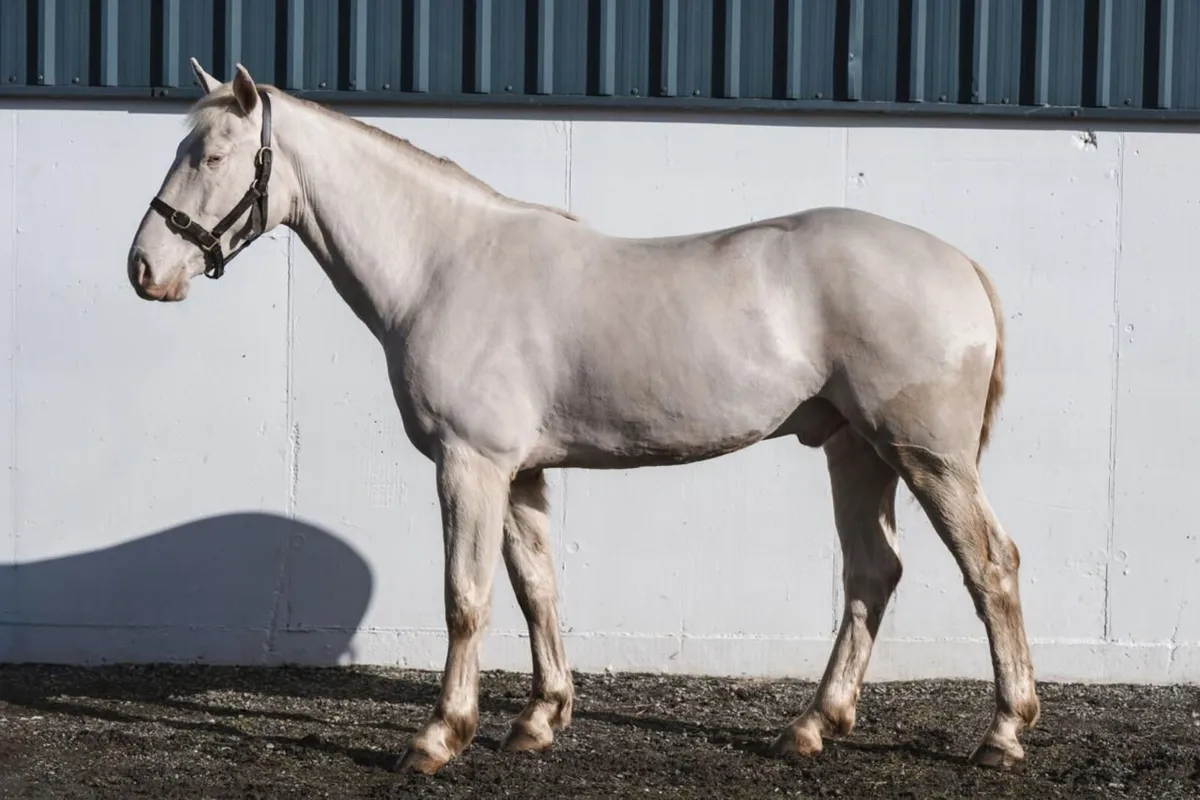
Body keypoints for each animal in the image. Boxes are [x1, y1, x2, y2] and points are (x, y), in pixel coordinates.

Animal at [126, 59, 1040, 775]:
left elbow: (466, 597)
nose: (143, 268)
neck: (442, 265)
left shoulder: (471, 464)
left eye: (212, 155)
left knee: (991, 567)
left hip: (927, 456)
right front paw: (538, 721)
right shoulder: (520, 471)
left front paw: (438, 737)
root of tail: (958, 263)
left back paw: (1001, 733)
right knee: (871, 575)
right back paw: (812, 727)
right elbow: (536, 589)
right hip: (856, 450)